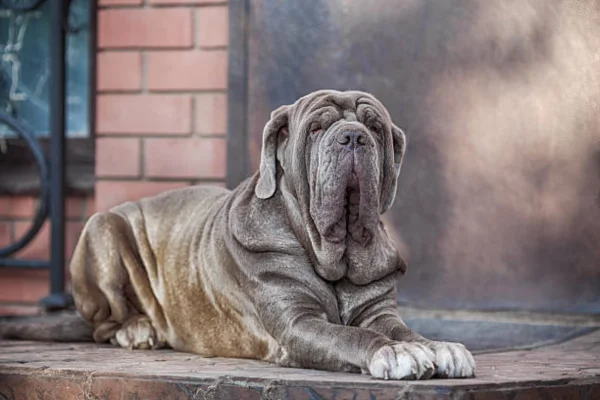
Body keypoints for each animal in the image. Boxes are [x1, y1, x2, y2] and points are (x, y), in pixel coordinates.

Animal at [2, 89, 476, 380]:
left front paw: (438, 346)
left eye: (375, 127)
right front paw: (392, 353)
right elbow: (351, 335)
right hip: (102, 227)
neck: (330, 251)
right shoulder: (296, 323)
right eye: (317, 128)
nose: (354, 137)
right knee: (102, 322)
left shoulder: (380, 311)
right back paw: (136, 329)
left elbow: (403, 331)